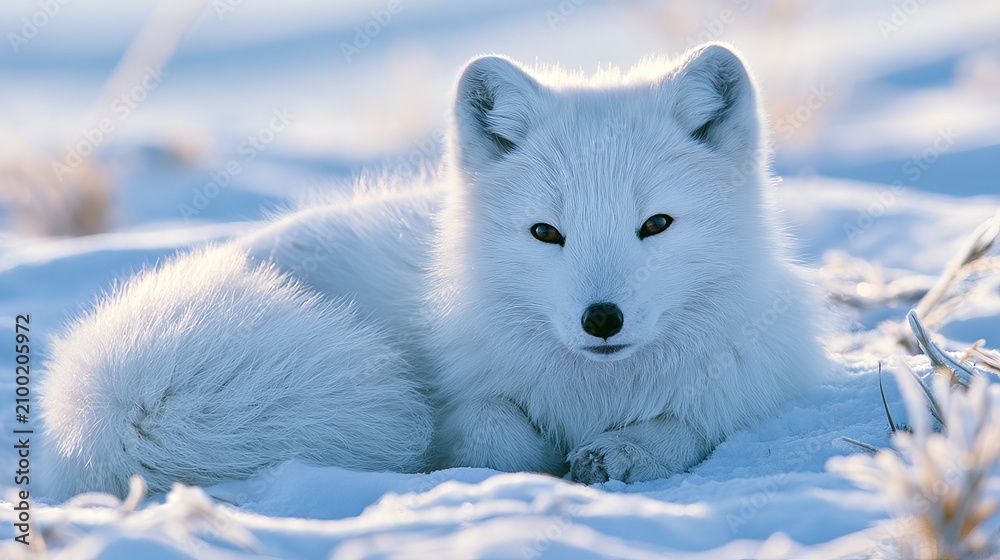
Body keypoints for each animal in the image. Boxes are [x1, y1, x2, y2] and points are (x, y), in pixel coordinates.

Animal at [39, 43, 829, 498]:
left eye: (656, 224)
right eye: (547, 233)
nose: (601, 320)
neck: (596, 391)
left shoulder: (749, 385)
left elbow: (686, 426)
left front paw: (623, 450)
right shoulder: (462, 397)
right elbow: (486, 427)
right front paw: (526, 456)